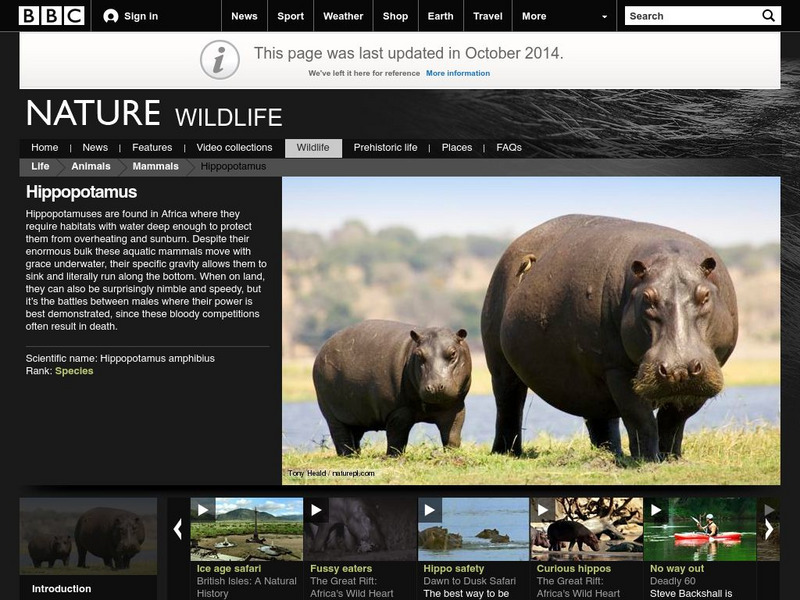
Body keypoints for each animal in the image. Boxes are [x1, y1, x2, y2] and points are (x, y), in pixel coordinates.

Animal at [313, 320, 472, 456]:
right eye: (419, 354)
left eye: (453, 353)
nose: (434, 387)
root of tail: (321, 351)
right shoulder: (399, 411)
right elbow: (397, 437)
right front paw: (393, 456)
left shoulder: (455, 407)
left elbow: (453, 434)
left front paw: (452, 454)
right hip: (331, 413)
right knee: (341, 436)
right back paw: (348, 456)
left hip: (357, 416)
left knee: (354, 435)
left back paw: (356, 454)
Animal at [481, 215, 737, 460]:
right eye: (647, 298)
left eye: (705, 296)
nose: (679, 368)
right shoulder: (617, 369)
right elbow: (640, 418)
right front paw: (648, 459)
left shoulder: (705, 373)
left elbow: (673, 421)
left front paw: (672, 457)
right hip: (500, 365)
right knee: (508, 403)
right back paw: (506, 452)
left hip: (588, 380)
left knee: (600, 418)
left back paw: (613, 454)